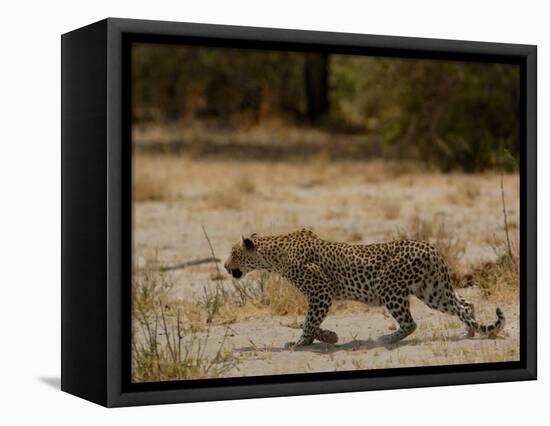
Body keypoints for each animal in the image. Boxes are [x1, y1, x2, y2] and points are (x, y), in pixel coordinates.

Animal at [222, 228, 506, 348]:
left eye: (233, 253)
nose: (225, 266)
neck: (273, 256)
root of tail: (432, 247)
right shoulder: (320, 296)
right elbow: (312, 322)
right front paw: (326, 337)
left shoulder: (321, 293)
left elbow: (309, 322)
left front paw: (303, 342)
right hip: (432, 291)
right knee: (465, 305)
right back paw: (470, 332)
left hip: (392, 288)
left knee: (411, 323)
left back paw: (385, 339)